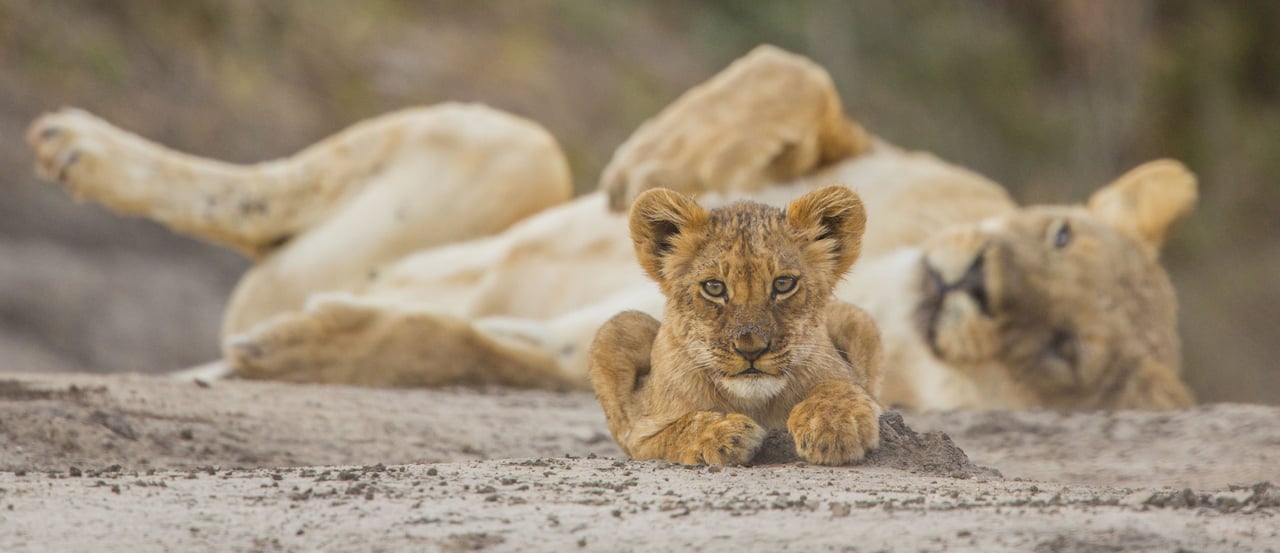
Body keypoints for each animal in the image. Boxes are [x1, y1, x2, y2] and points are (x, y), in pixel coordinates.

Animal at [24, 46, 1192, 409]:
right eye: (1058, 236)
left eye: (1062, 351)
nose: (975, 285)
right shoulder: (871, 159)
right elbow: (794, 76)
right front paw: (670, 157)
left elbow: (453, 346)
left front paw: (305, 348)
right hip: (517, 144)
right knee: (248, 197)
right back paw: (70, 142)